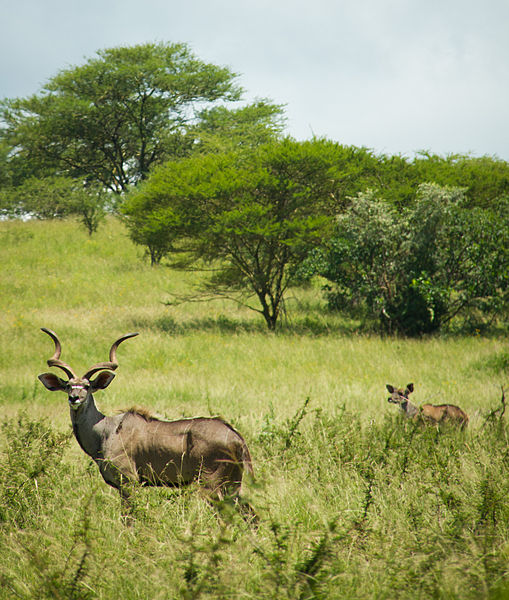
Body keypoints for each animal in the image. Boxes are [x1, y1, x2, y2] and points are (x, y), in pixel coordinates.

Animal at [36, 328, 254, 516]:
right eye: (68, 386)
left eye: (87, 386)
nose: (74, 398)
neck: (106, 431)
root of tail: (237, 438)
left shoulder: (129, 482)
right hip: (232, 485)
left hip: (211, 484)